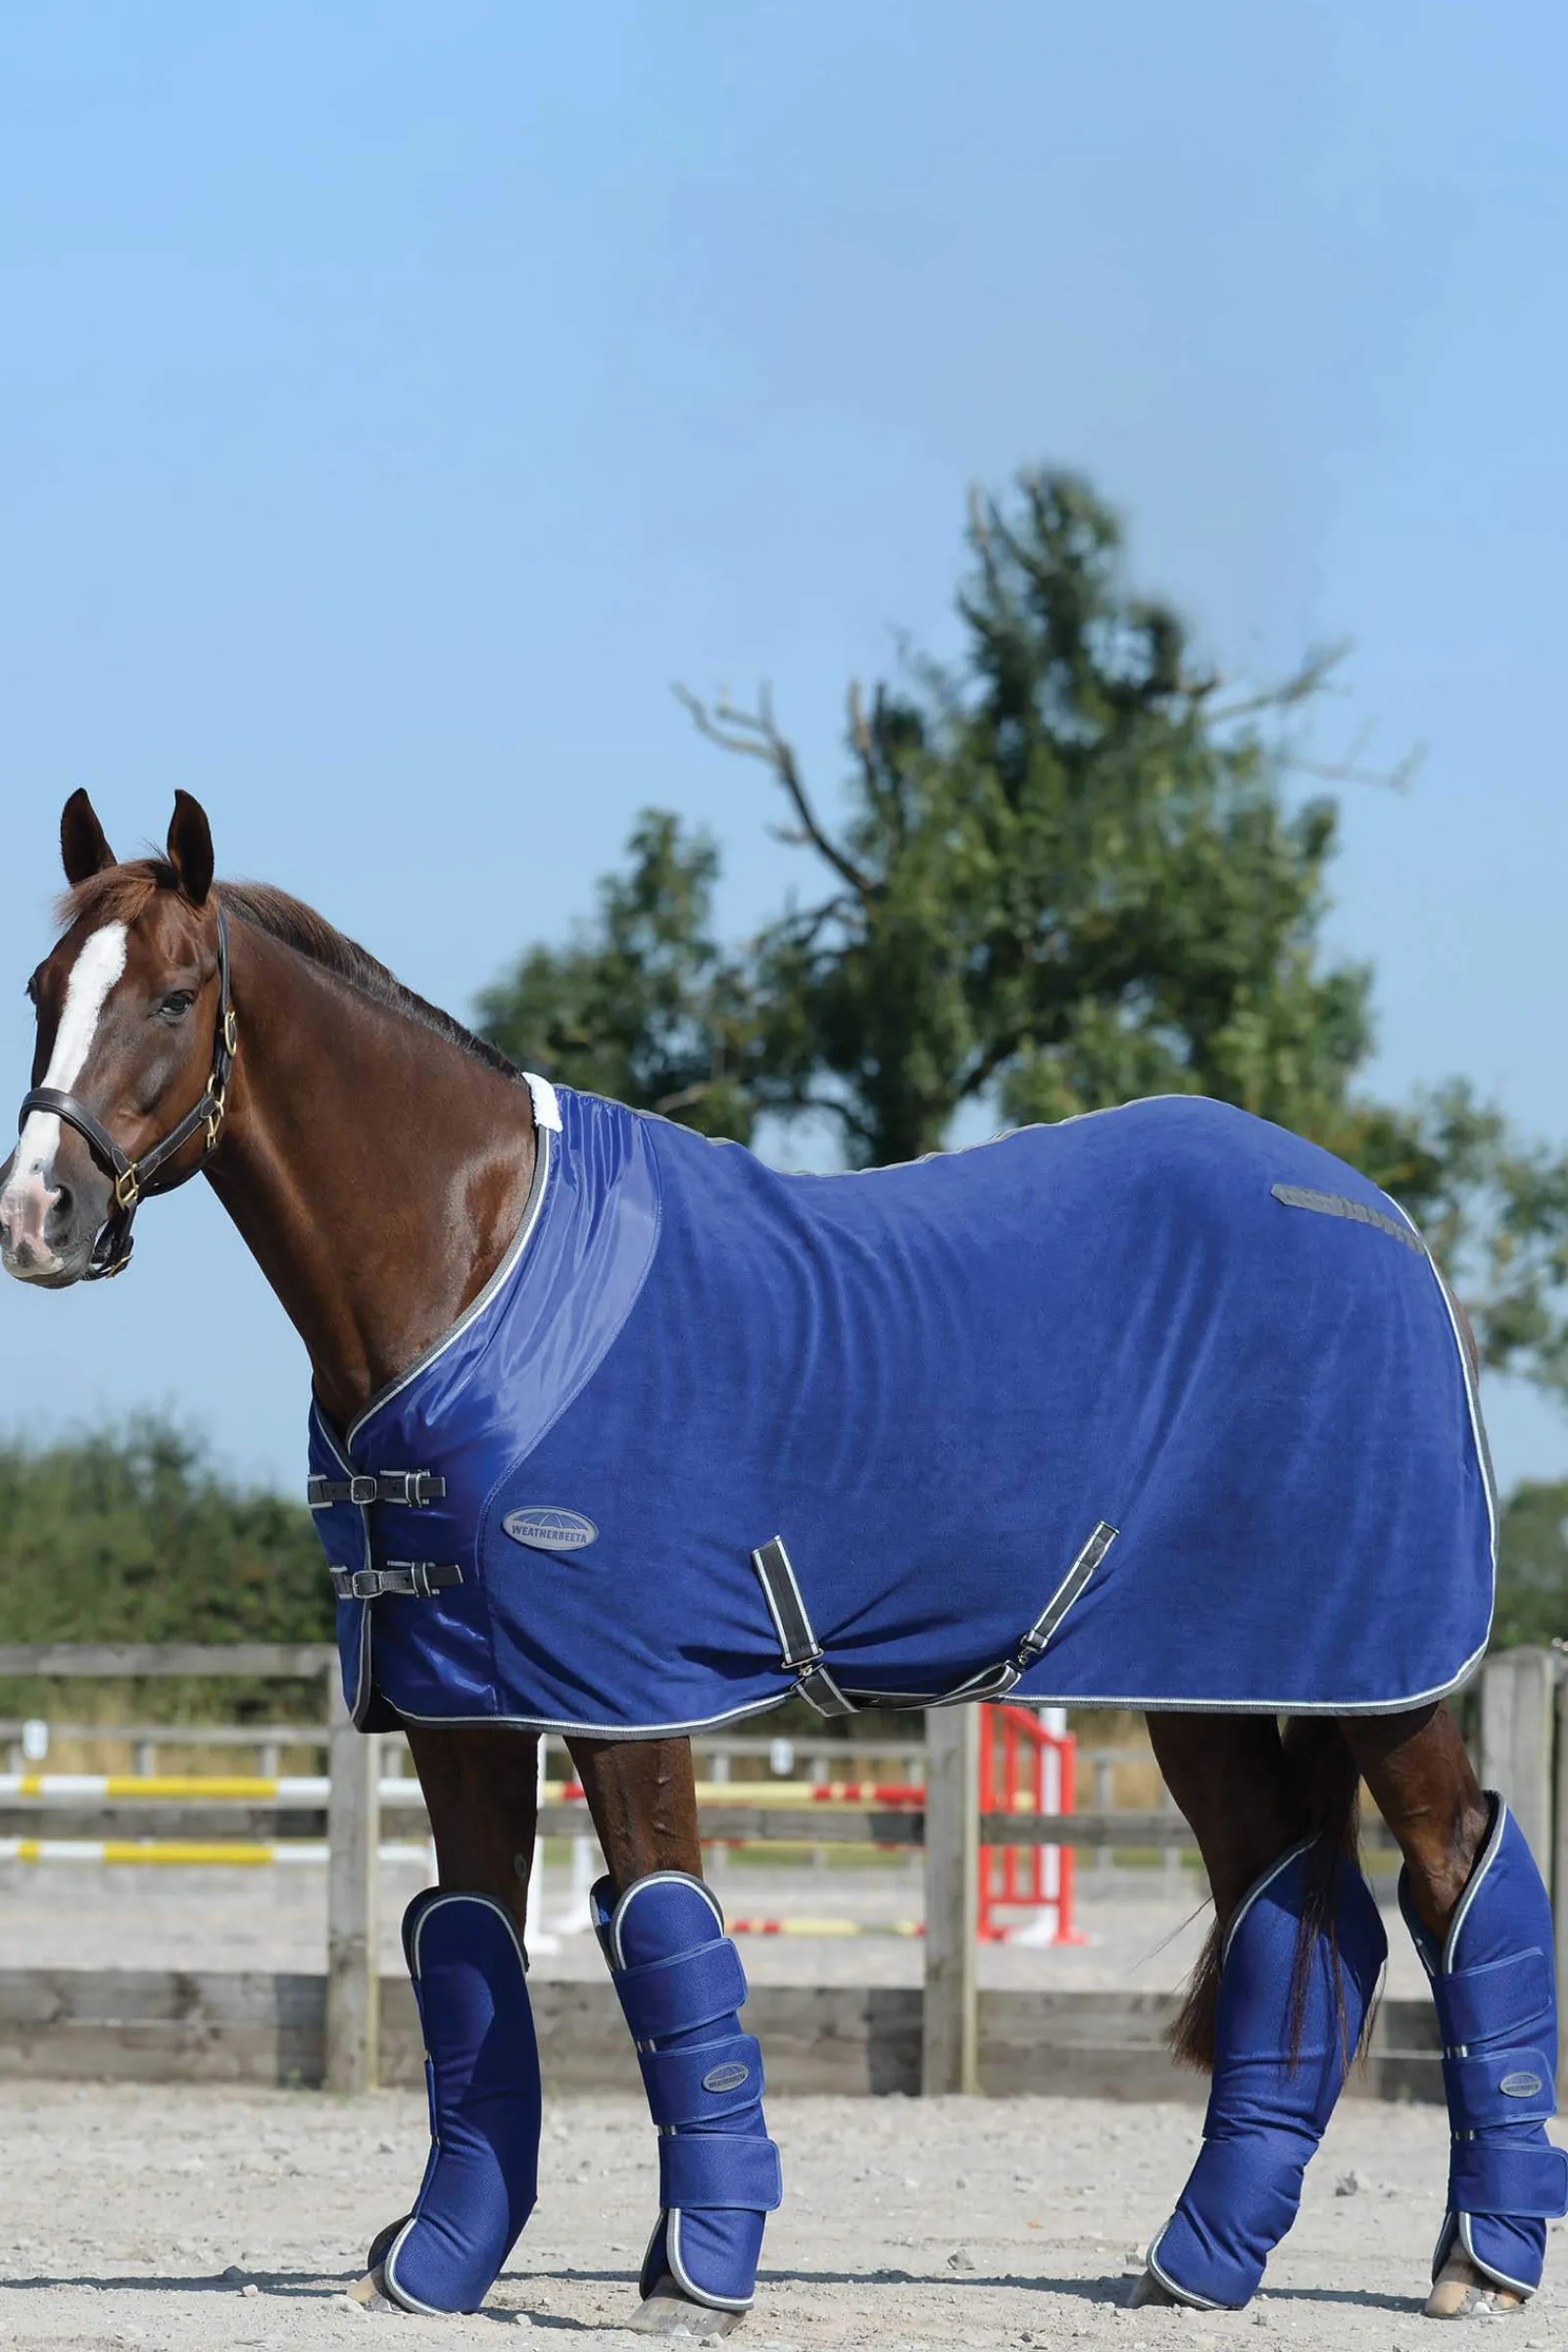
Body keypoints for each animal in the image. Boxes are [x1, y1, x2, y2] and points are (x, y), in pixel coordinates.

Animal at [2, 788, 1563, 2330]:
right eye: (42, 989)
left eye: (176, 995)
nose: (36, 1217)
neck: (474, 1262)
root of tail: (1386, 1228)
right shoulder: (459, 1700)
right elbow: (470, 1956)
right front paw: (438, 2266)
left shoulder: (624, 1698)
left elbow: (668, 1942)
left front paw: (699, 2272)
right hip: (1211, 1683)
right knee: (1293, 1905)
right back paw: (1203, 2263)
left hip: (1387, 1677)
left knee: (1453, 1872)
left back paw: (1478, 2260)